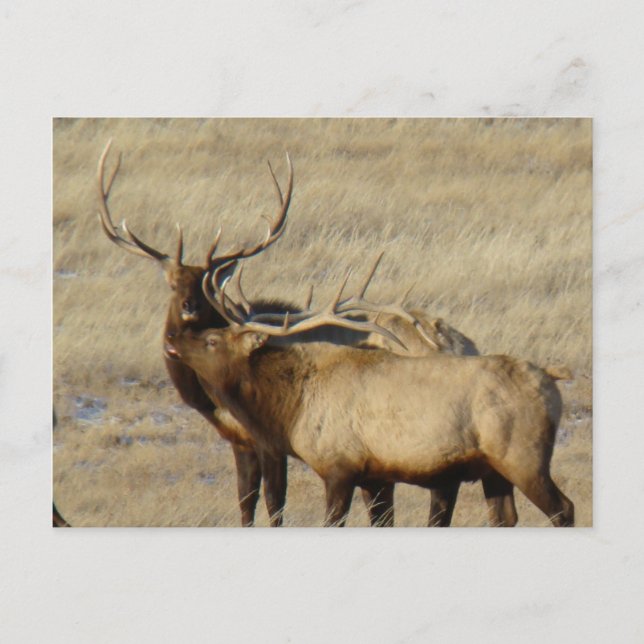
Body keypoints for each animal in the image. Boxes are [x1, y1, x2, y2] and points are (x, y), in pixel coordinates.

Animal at [163, 263, 575, 528]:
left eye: (213, 340)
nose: (173, 339)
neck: (291, 408)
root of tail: (551, 379)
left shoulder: (339, 466)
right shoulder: (373, 476)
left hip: (523, 456)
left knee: (564, 509)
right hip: (494, 469)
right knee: (505, 518)